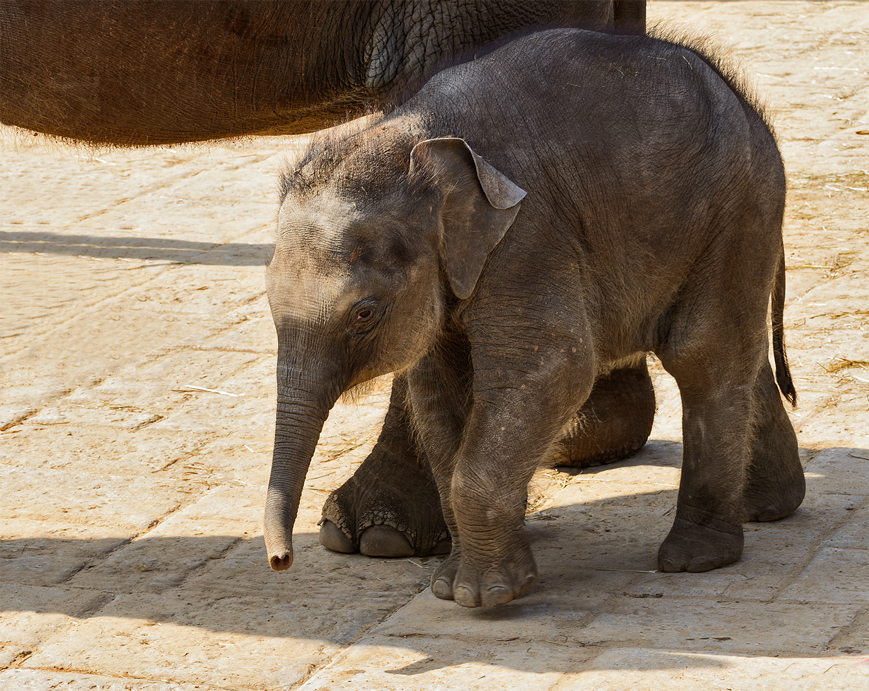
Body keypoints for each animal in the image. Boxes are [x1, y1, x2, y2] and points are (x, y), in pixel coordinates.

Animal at [262, 29, 800, 608]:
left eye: (364, 313)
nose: (280, 562)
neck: (406, 138)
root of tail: (751, 108)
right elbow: (439, 389)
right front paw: (450, 587)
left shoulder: (527, 238)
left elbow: (553, 369)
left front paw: (486, 596)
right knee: (735, 350)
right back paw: (767, 508)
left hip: (738, 210)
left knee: (703, 354)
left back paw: (694, 559)